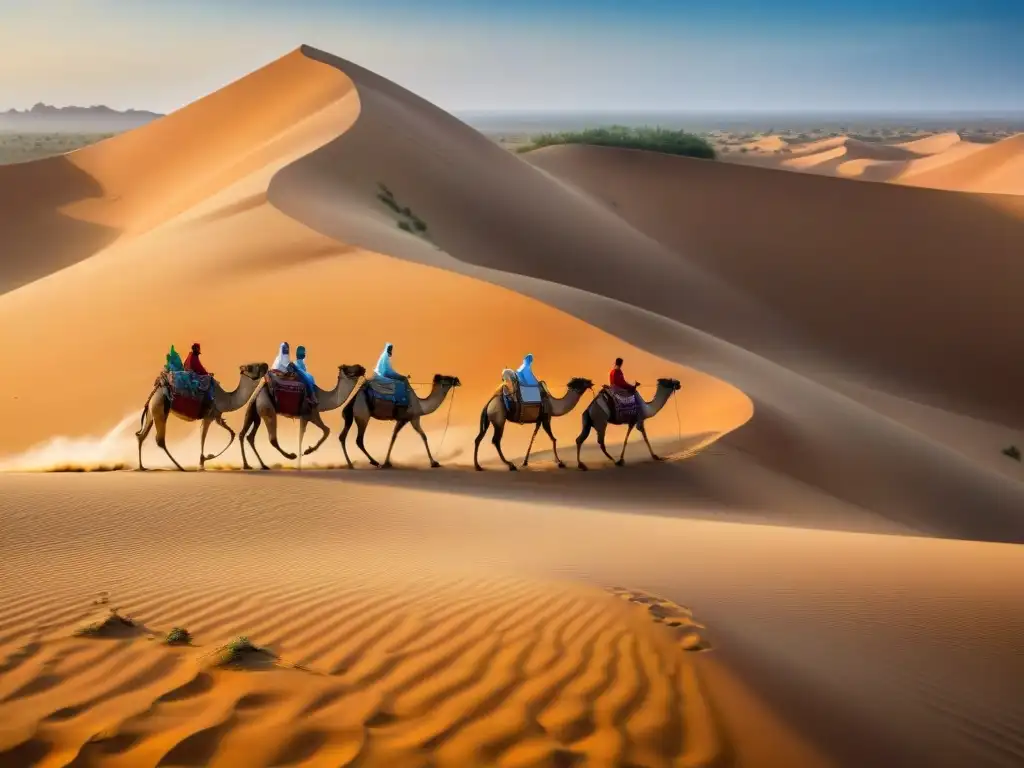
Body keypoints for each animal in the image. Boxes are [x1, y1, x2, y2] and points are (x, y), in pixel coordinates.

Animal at [138, 364, 270, 473]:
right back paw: (180, 467)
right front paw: (202, 463)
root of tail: (157, 387)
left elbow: (231, 434)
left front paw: (208, 457)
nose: (265, 365)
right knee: (160, 440)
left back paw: (142, 467)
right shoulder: (208, 416)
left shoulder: (216, 416)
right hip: (160, 408)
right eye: (251, 367)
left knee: (141, 435)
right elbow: (203, 438)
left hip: (152, 410)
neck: (225, 399)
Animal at [237, 364, 366, 473]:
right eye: (349, 368)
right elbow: (315, 433)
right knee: (272, 439)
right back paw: (290, 456)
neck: (322, 398)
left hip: (254, 410)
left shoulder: (309, 416)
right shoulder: (309, 414)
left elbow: (322, 431)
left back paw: (254, 465)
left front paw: (306, 453)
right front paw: (304, 457)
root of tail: (259, 391)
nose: (362, 368)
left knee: (246, 435)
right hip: (268, 408)